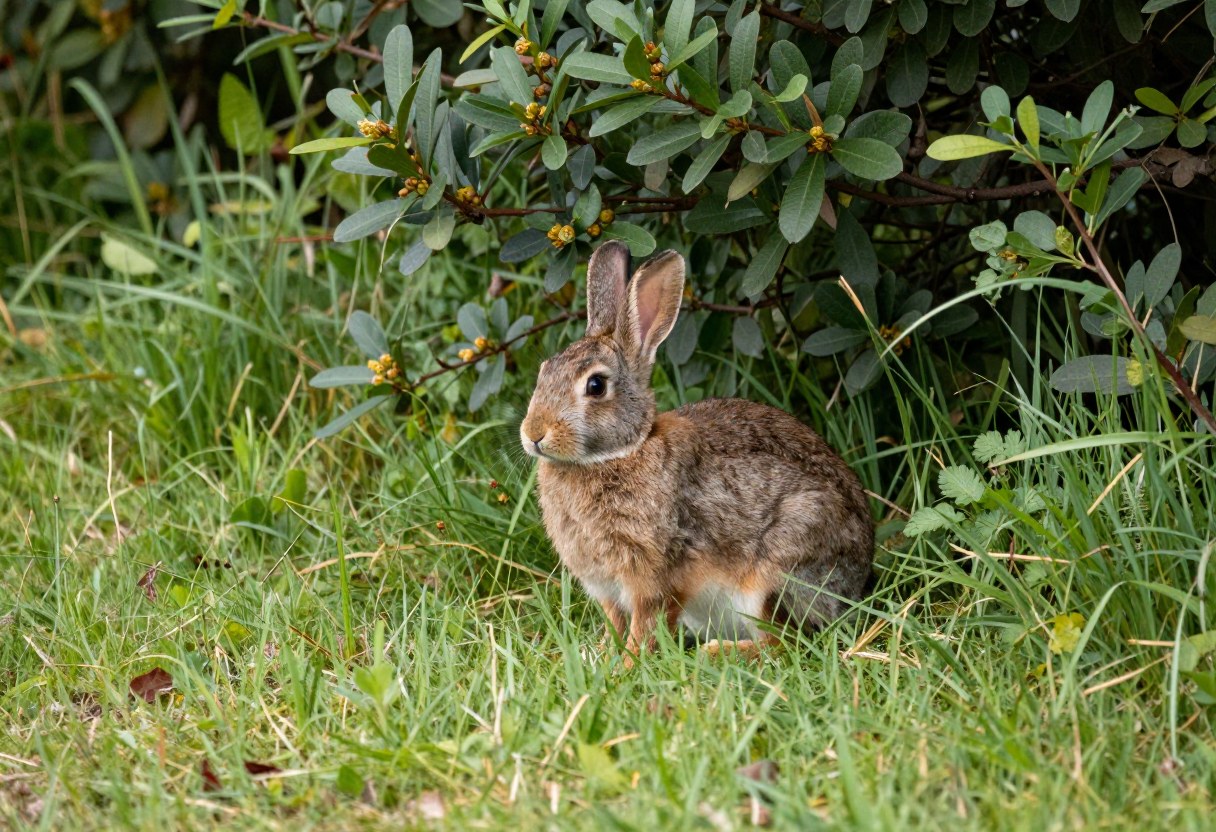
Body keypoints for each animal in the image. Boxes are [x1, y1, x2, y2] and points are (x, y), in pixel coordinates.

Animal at [520, 241, 874, 661]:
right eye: (544, 371)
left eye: (595, 386)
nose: (534, 434)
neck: (620, 453)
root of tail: (856, 583)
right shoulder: (607, 589)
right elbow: (614, 623)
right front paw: (599, 656)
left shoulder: (653, 576)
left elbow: (646, 624)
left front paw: (628, 664)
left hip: (776, 571)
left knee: (784, 643)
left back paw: (717, 652)